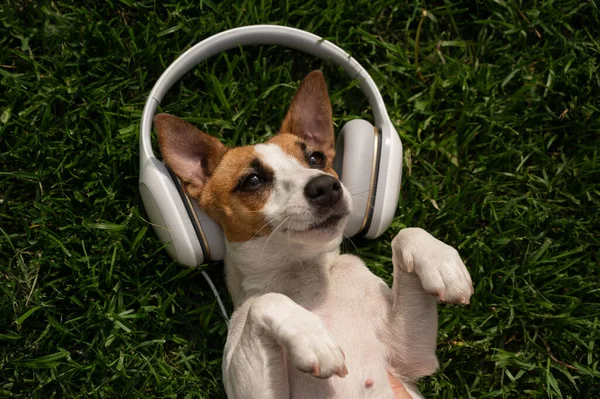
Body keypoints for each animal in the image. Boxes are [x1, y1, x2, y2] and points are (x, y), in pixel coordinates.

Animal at [155, 70, 474, 398]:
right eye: (253, 180)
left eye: (316, 159)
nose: (325, 186)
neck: (305, 275)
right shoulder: (254, 391)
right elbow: (266, 301)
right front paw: (310, 335)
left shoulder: (408, 358)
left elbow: (406, 232)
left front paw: (442, 263)